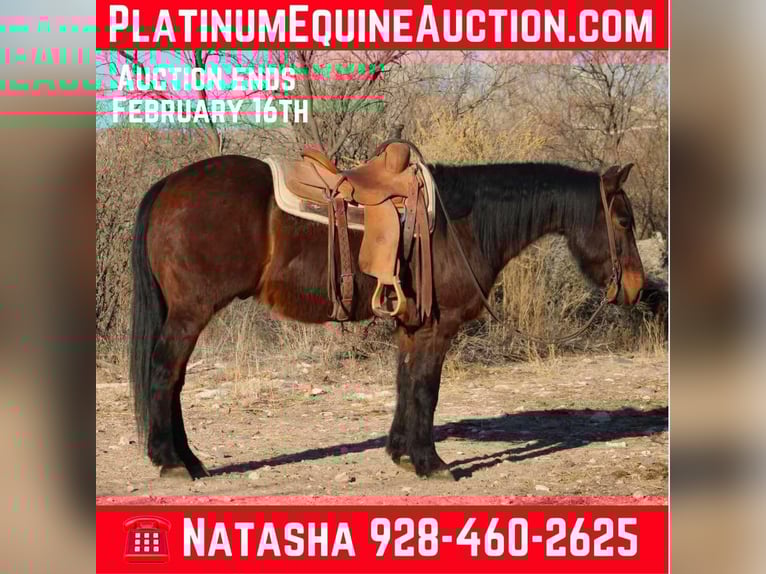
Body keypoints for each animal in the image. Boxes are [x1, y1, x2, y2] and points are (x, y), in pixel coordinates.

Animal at [129, 145, 645, 480]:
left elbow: (405, 385)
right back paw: (171, 461)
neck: (463, 223)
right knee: (164, 373)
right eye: (623, 220)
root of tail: (169, 184)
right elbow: (426, 390)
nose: (636, 288)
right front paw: (430, 463)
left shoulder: (411, 327)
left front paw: (400, 453)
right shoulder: (438, 328)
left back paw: (189, 460)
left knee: (174, 380)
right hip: (190, 313)